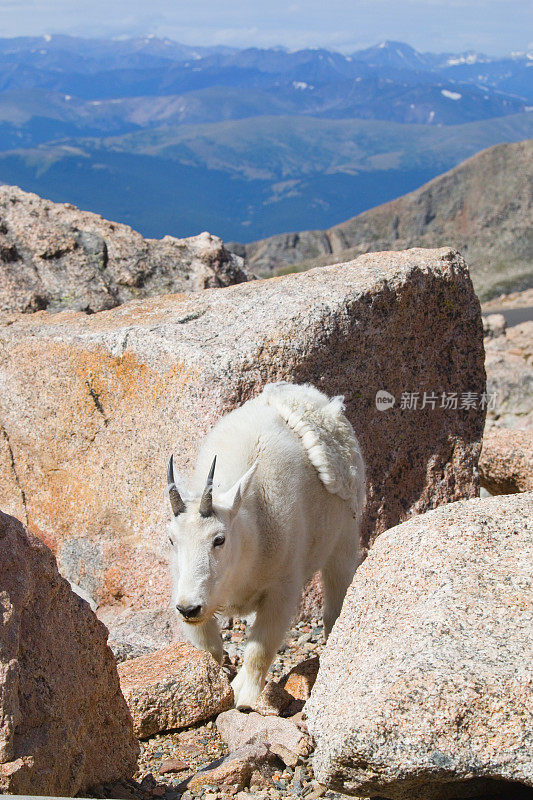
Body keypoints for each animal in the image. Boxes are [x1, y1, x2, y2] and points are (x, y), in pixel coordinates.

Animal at [166, 382, 366, 708]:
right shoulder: (185, 587)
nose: (189, 608)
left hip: (345, 534)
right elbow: (207, 647)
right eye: (172, 539)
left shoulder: (282, 588)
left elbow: (260, 647)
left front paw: (243, 698)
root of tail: (311, 396)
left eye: (219, 539)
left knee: (338, 588)